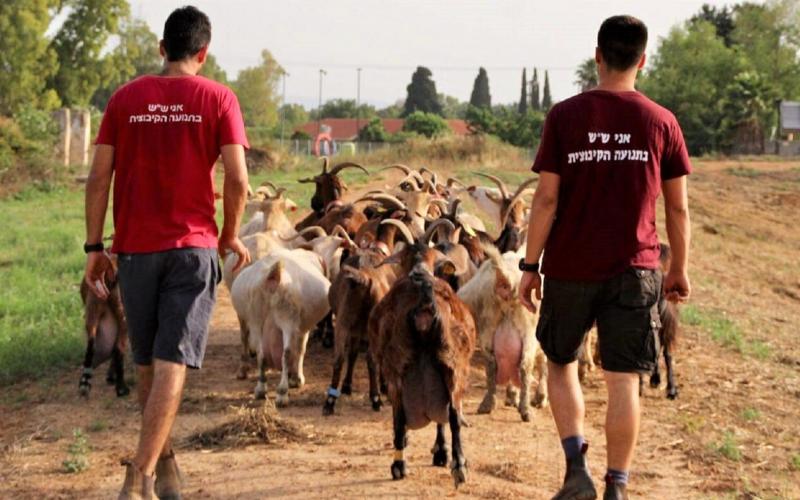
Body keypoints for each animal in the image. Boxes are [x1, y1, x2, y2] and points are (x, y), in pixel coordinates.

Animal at [231, 247, 332, 406]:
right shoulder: (301, 326)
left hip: (257, 317)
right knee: (286, 352)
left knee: (261, 353)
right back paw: (282, 392)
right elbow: (300, 349)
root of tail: (274, 275)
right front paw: (297, 379)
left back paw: (261, 389)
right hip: (285, 317)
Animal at [368, 220, 476, 488]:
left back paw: (399, 465)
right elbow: (442, 417)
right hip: (452, 365)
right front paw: (441, 453)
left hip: (397, 368)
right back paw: (459, 466)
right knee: (453, 415)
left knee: (399, 418)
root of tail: (425, 304)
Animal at [456, 246, 552, 422]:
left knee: (492, 364)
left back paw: (487, 405)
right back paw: (526, 410)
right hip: (528, 332)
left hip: (488, 330)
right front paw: (539, 398)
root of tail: (507, 281)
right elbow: (543, 365)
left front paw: (512, 396)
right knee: (525, 366)